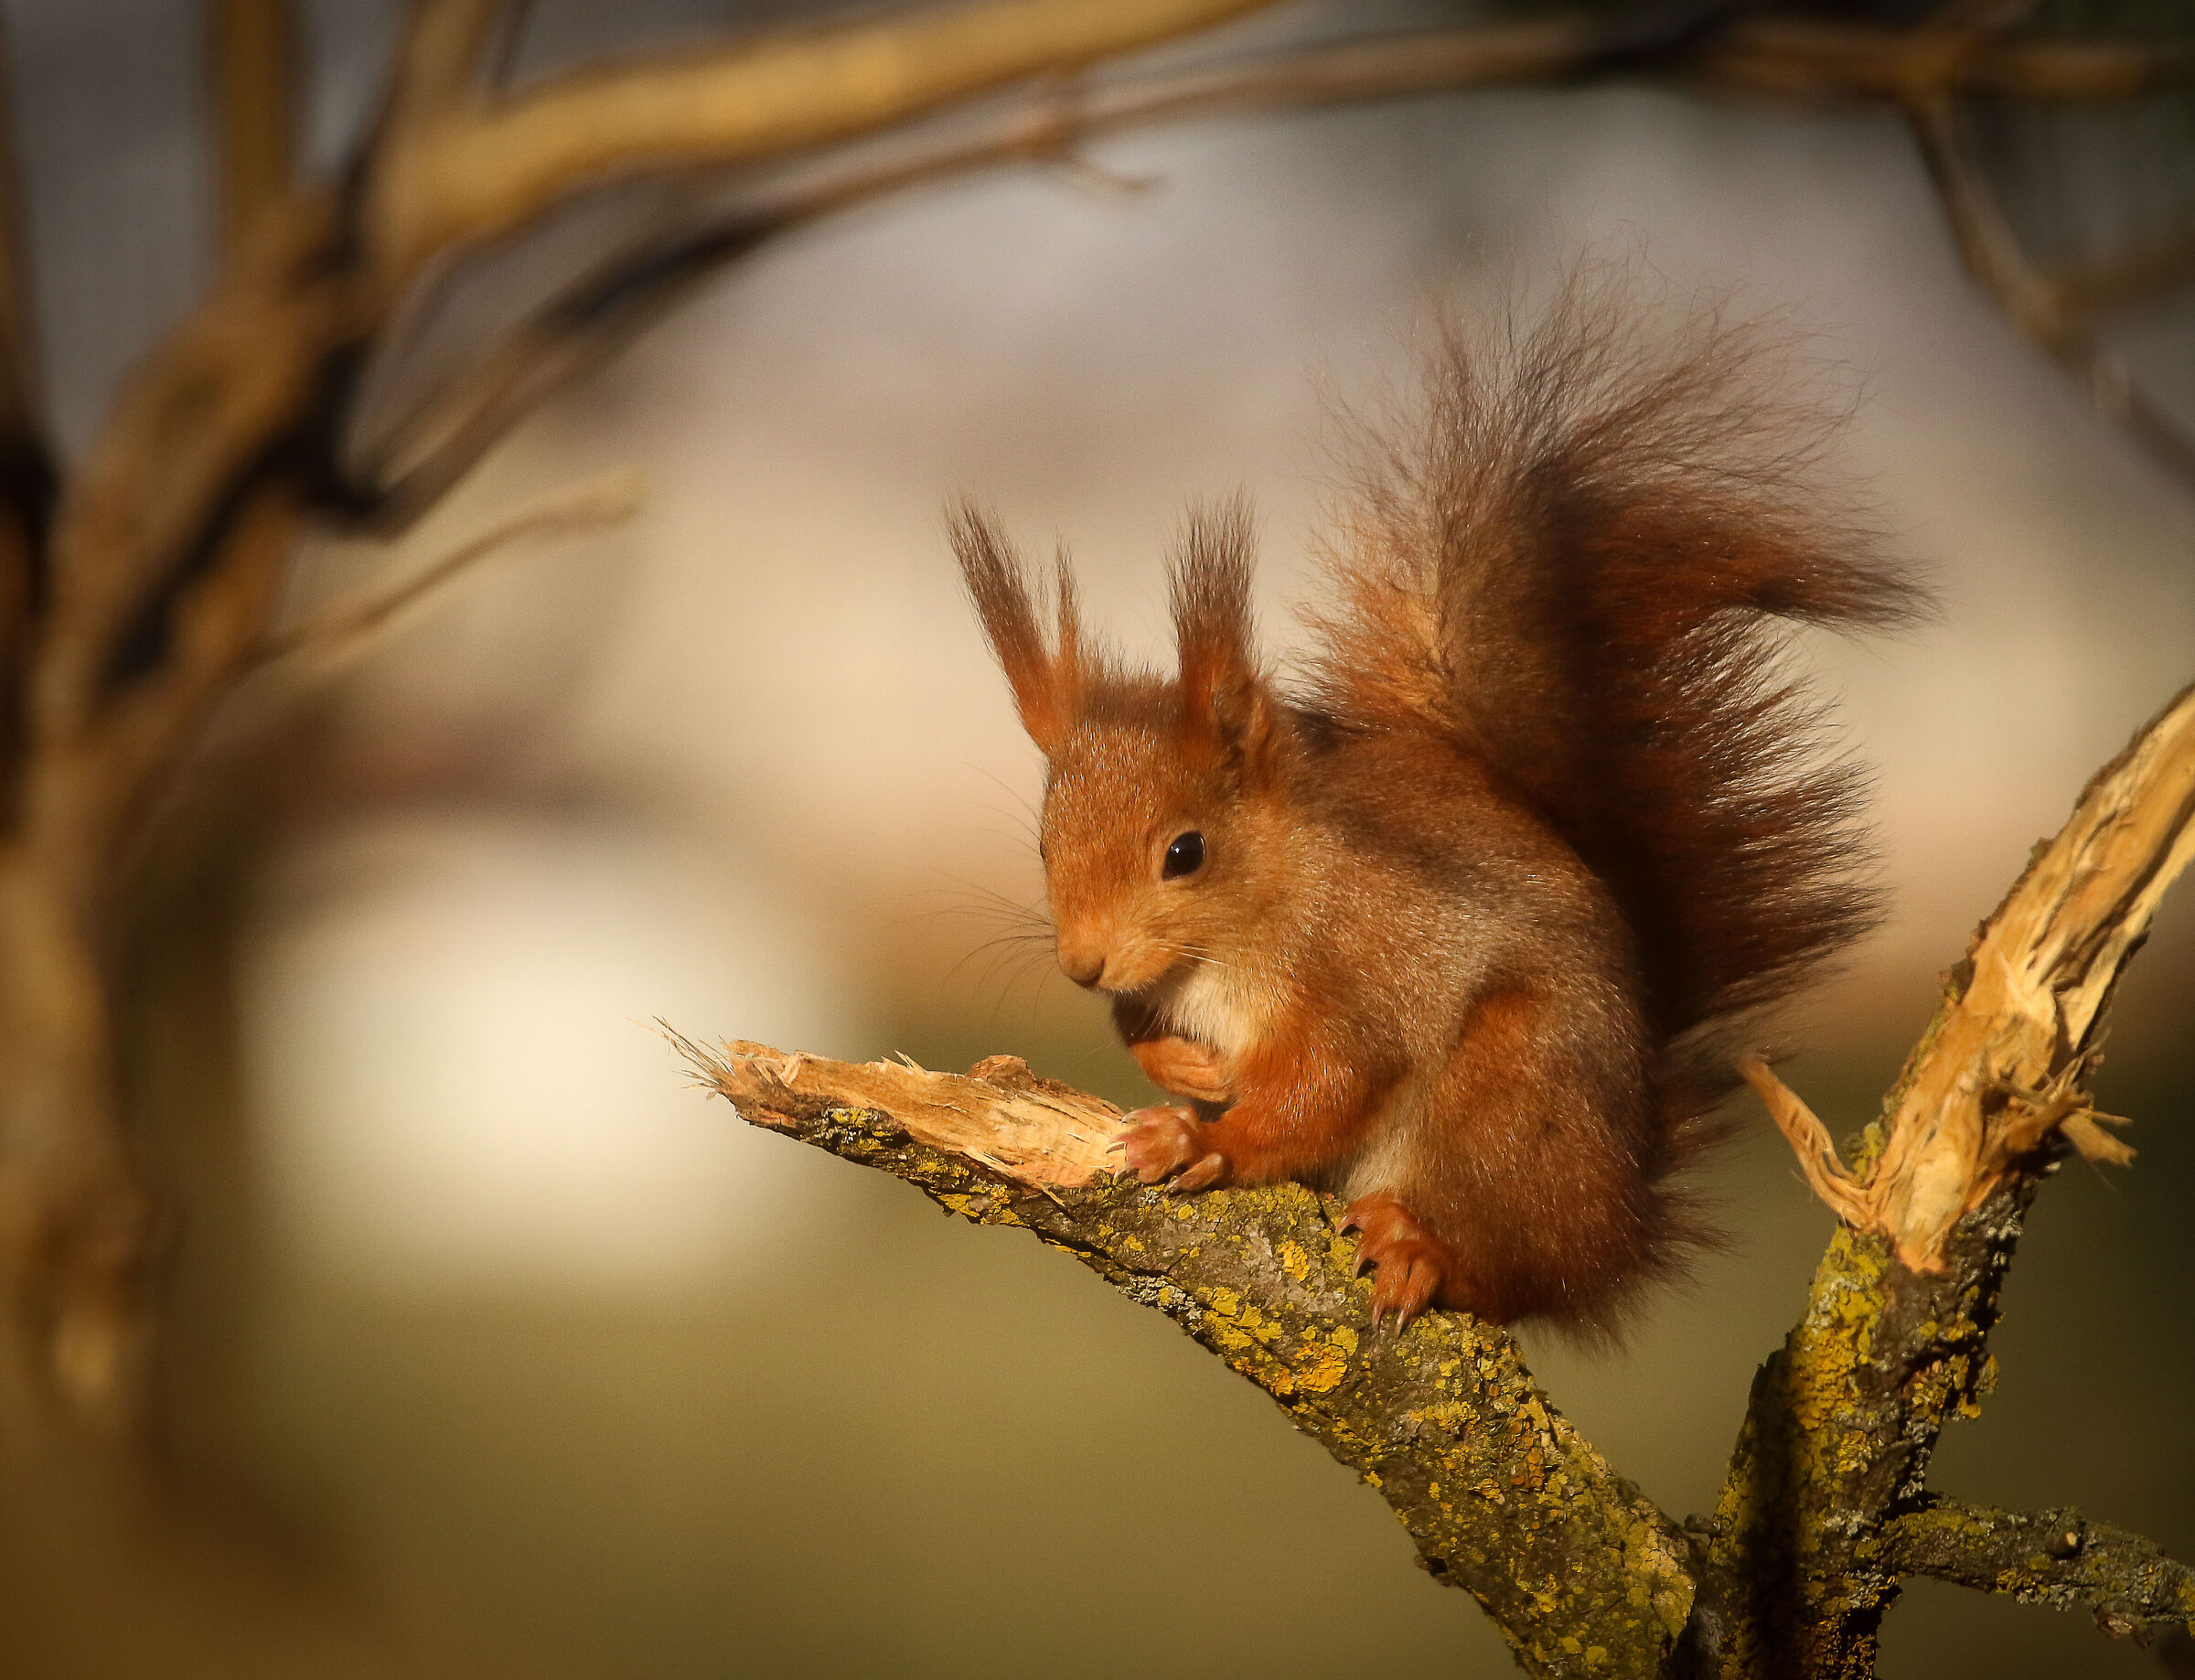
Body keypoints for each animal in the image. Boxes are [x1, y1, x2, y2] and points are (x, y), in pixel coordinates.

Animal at [950, 279, 1923, 1336]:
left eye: (1186, 852)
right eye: (1043, 847)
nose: (1081, 963)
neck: (1268, 905)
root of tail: (1625, 1213)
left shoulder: (1364, 977)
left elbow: (1325, 1090)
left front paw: (1209, 1139)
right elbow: (1145, 1029)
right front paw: (1186, 1070)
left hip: (1508, 1099)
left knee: (1514, 1275)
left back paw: (1421, 1246)